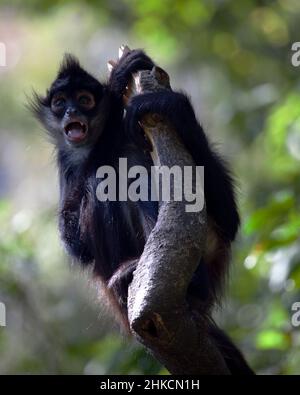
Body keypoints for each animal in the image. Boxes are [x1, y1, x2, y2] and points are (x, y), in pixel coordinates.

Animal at [31, 49, 253, 374]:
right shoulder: (66, 160)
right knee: (102, 179)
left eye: (84, 99)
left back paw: (191, 284)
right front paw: (115, 89)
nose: (71, 113)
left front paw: (172, 106)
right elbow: (75, 243)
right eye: (60, 103)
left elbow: (231, 220)